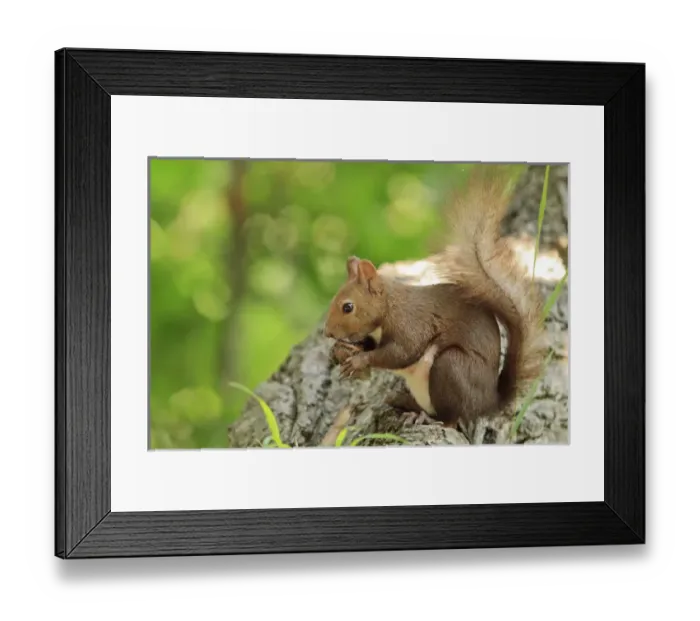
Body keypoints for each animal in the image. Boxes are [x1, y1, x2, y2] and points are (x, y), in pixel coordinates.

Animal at [323, 166, 547, 429]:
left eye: (348, 307)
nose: (327, 332)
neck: (389, 307)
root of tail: (488, 403)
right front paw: (344, 349)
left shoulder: (411, 324)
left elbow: (400, 353)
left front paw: (359, 360)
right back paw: (405, 403)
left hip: (450, 367)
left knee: (452, 417)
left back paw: (426, 417)